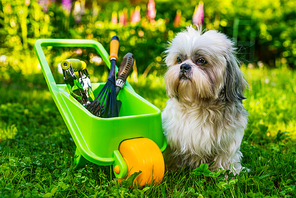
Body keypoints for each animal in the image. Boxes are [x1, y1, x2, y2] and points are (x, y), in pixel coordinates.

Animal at [162, 25, 247, 175]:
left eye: (201, 60)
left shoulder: (228, 141)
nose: (184, 66)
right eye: (179, 59)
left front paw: (227, 173)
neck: (198, 104)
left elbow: (225, 158)